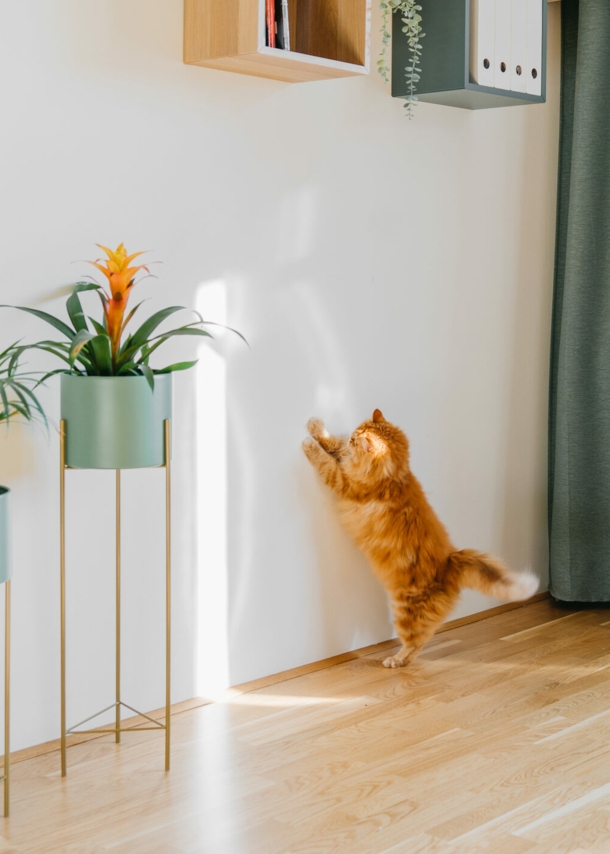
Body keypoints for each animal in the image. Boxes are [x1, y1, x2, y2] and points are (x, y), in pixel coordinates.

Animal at [300, 412, 536, 668]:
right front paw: (317, 428)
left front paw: (310, 443)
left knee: (416, 642)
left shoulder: (345, 483)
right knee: (423, 639)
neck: (395, 475)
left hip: (405, 610)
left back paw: (395, 660)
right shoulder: (347, 464)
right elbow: (334, 444)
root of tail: (451, 562)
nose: (352, 438)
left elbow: (325, 463)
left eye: (355, 440)